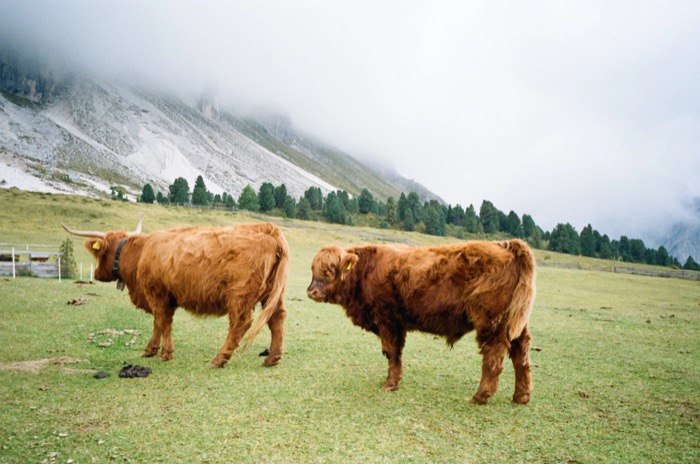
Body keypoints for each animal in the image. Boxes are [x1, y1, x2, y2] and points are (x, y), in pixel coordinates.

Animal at [62, 215, 289, 368]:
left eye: (101, 254)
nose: (97, 274)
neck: (140, 254)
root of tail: (268, 228)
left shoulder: (157, 294)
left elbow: (161, 321)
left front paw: (164, 353)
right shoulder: (167, 298)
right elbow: (162, 323)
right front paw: (153, 349)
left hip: (239, 296)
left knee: (240, 323)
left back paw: (219, 358)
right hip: (272, 293)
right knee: (276, 319)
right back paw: (272, 358)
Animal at [307, 239, 536, 404]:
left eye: (330, 270)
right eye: (313, 269)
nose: (312, 292)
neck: (367, 270)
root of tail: (505, 245)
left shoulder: (388, 320)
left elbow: (392, 352)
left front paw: (390, 384)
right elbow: (394, 354)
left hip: (492, 324)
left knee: (493, 357)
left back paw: (480, 396)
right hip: (514, 324)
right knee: (521, 354)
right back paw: (521, 396)